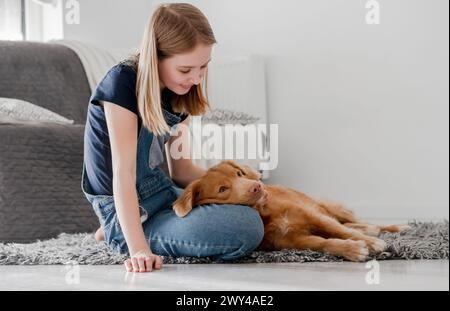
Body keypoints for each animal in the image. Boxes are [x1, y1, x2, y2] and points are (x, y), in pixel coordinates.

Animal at [173, 161, 412, 264]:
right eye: (223, 189)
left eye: (239, 173)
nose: (257, 186)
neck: (267, 213)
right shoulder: (292, 240)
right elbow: (325, 243)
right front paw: (352, 249)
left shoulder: (315, 217)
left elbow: (340, 231)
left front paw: (371, 244)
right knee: (354, 225)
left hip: (332, 208)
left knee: (355, 223)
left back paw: (396, 227)